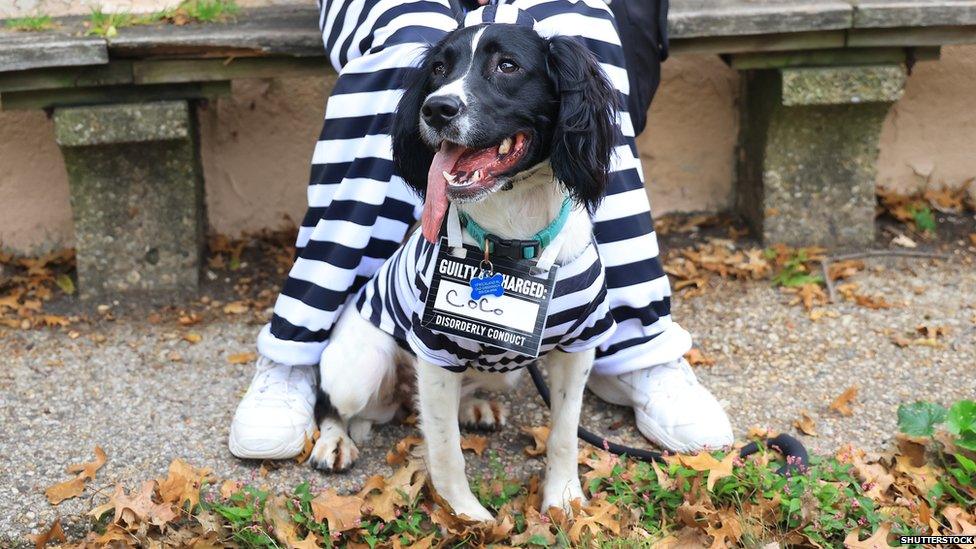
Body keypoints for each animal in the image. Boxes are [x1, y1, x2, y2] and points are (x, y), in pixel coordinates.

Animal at [310, 18, 616, 524]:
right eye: (438, 68)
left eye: (508, 66)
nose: (437, 108)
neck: (510, 243)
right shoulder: (434, 351)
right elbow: (445, 449)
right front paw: (466, 516)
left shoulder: (579, 345)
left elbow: (565, 433)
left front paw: (563, 499)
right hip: (359, 372)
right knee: (332, 404)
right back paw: (333, 442)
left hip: (503, 372)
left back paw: (475, 406)